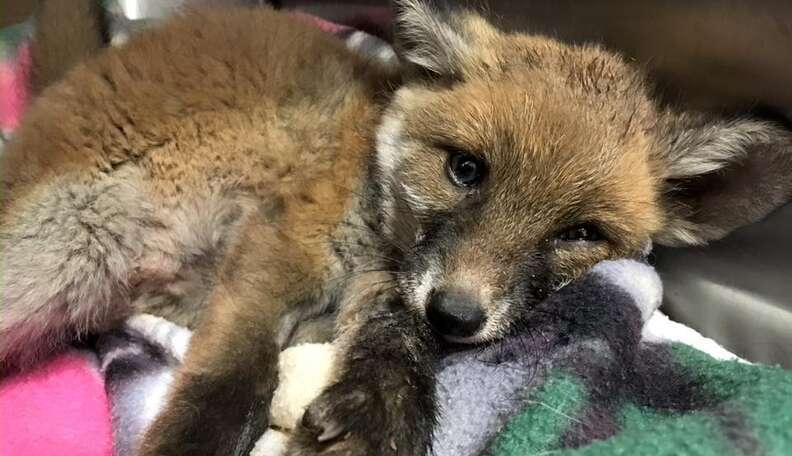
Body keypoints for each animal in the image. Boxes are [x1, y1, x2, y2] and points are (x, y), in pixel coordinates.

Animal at [4, 0, 792, 456]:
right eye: (467, 169)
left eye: (580, 234)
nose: (458, 316)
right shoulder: (276, 251)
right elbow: (231, 382)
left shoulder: (388, 285)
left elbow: (395, 344)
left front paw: (375, 414)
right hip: (52, 266)